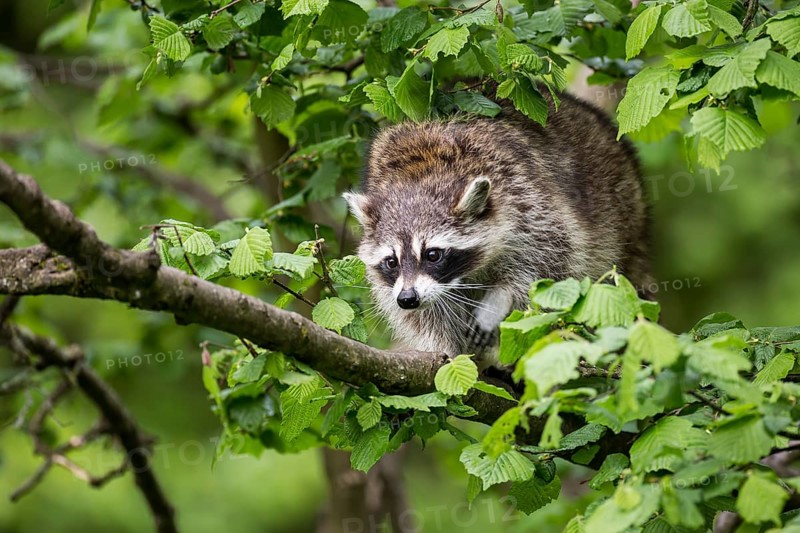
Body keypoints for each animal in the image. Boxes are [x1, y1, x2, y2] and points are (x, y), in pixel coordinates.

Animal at [344, 92, 653, 368]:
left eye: (433, 255)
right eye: (391, 261)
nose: (408, 299)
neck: (419, 177)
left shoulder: (527, 198)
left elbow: (545, 264)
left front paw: (499, 299)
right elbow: (427, 318)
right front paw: (447, 349)